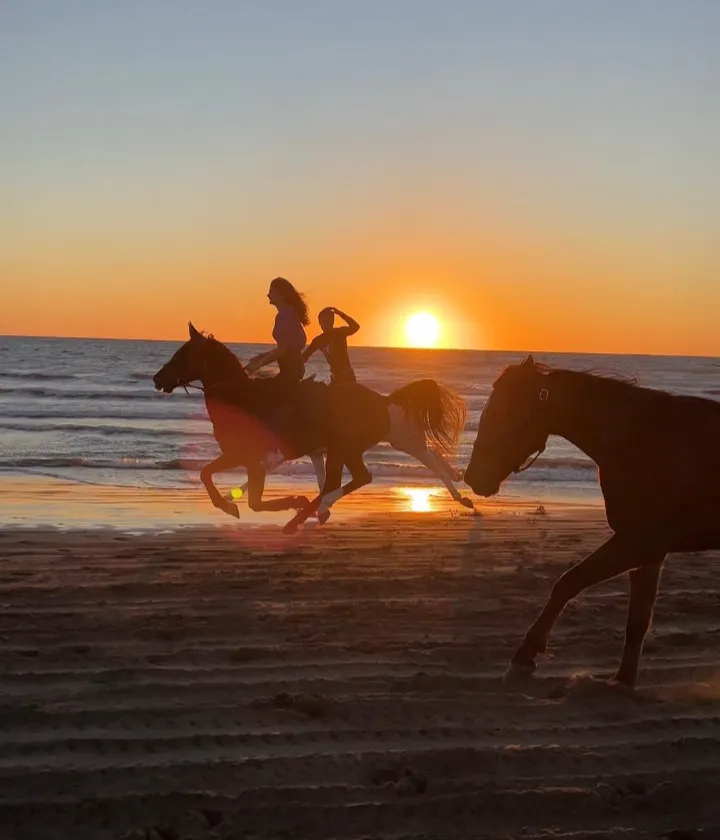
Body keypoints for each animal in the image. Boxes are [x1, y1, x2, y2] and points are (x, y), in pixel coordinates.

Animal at [153, 323, 471, 531]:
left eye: (182, 354)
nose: (157, 379)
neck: (242, 400)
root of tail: (383, 400)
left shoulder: (253, 458)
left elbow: (244, 495)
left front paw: (288, 501)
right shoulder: (242, 456)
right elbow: (209, 475)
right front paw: (231, 504)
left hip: (346, 448)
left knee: (349, 479)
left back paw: (304, 515)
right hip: (354, 448)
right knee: (359, 477)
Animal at [463, 354, 720, 687]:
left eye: (502, 413)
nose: (472, 477)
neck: (642, 441)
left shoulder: (638, 545)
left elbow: (568, 582)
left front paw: (524, 657)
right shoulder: (648, 555)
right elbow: (637, 621)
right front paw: (623, 681)